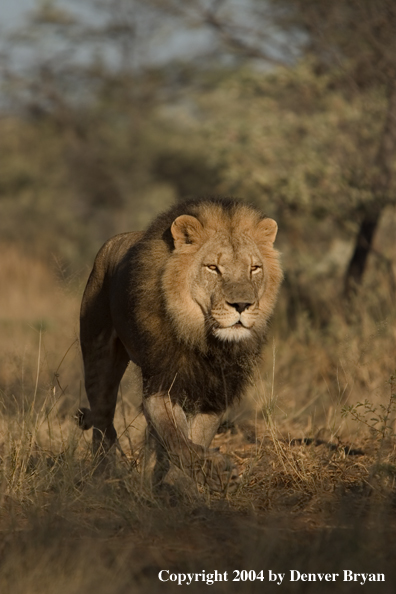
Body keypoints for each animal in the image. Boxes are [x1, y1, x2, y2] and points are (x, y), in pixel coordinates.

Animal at [78, 197, 282, 488]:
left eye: (254, 268)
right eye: (213, 268)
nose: (242, 305)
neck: (205, 340)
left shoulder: (216, 392)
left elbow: (195, 436)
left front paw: (181, 482)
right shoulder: (161, 384)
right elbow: (177, 438)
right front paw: (213, 468)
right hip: (98, 357)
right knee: (103, 420)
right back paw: (103, 473)